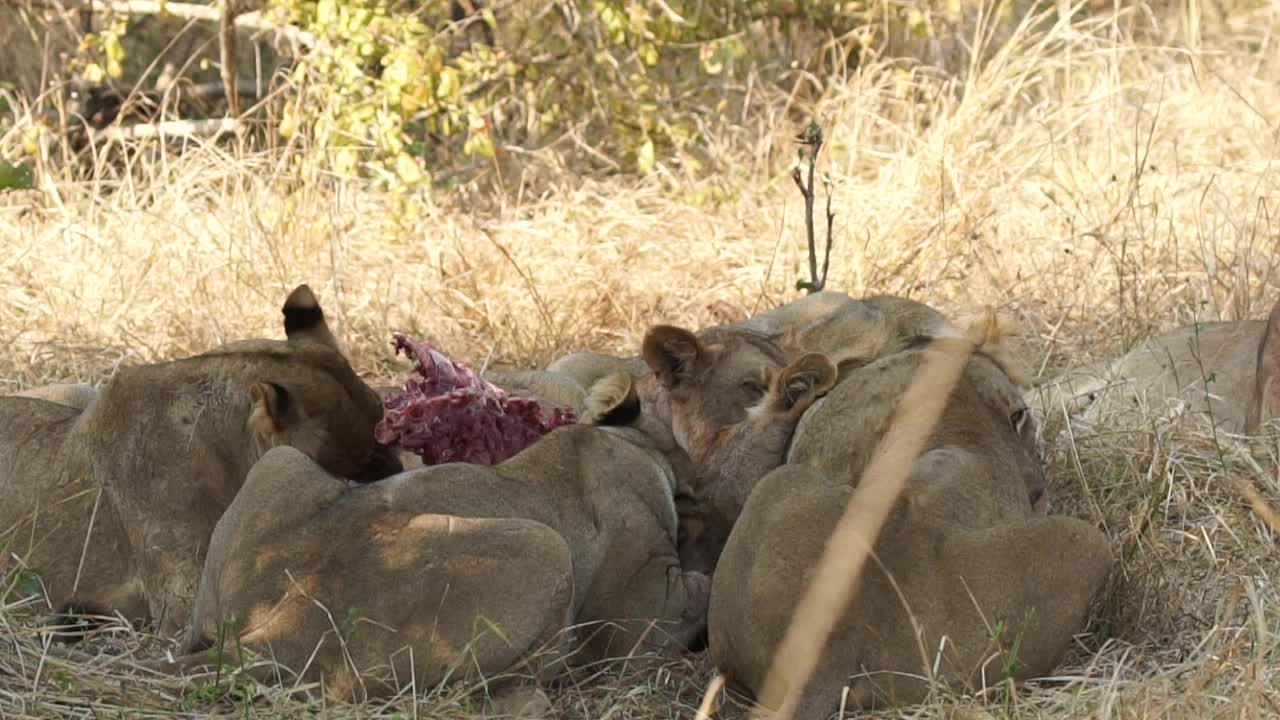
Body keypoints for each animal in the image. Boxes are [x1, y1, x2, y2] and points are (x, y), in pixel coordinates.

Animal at [144, 368, 711, 702]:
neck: (620, 442)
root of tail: (281, 626)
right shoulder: (638, 614)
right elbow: (693, 595)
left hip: (280, 464)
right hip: (545, 547)